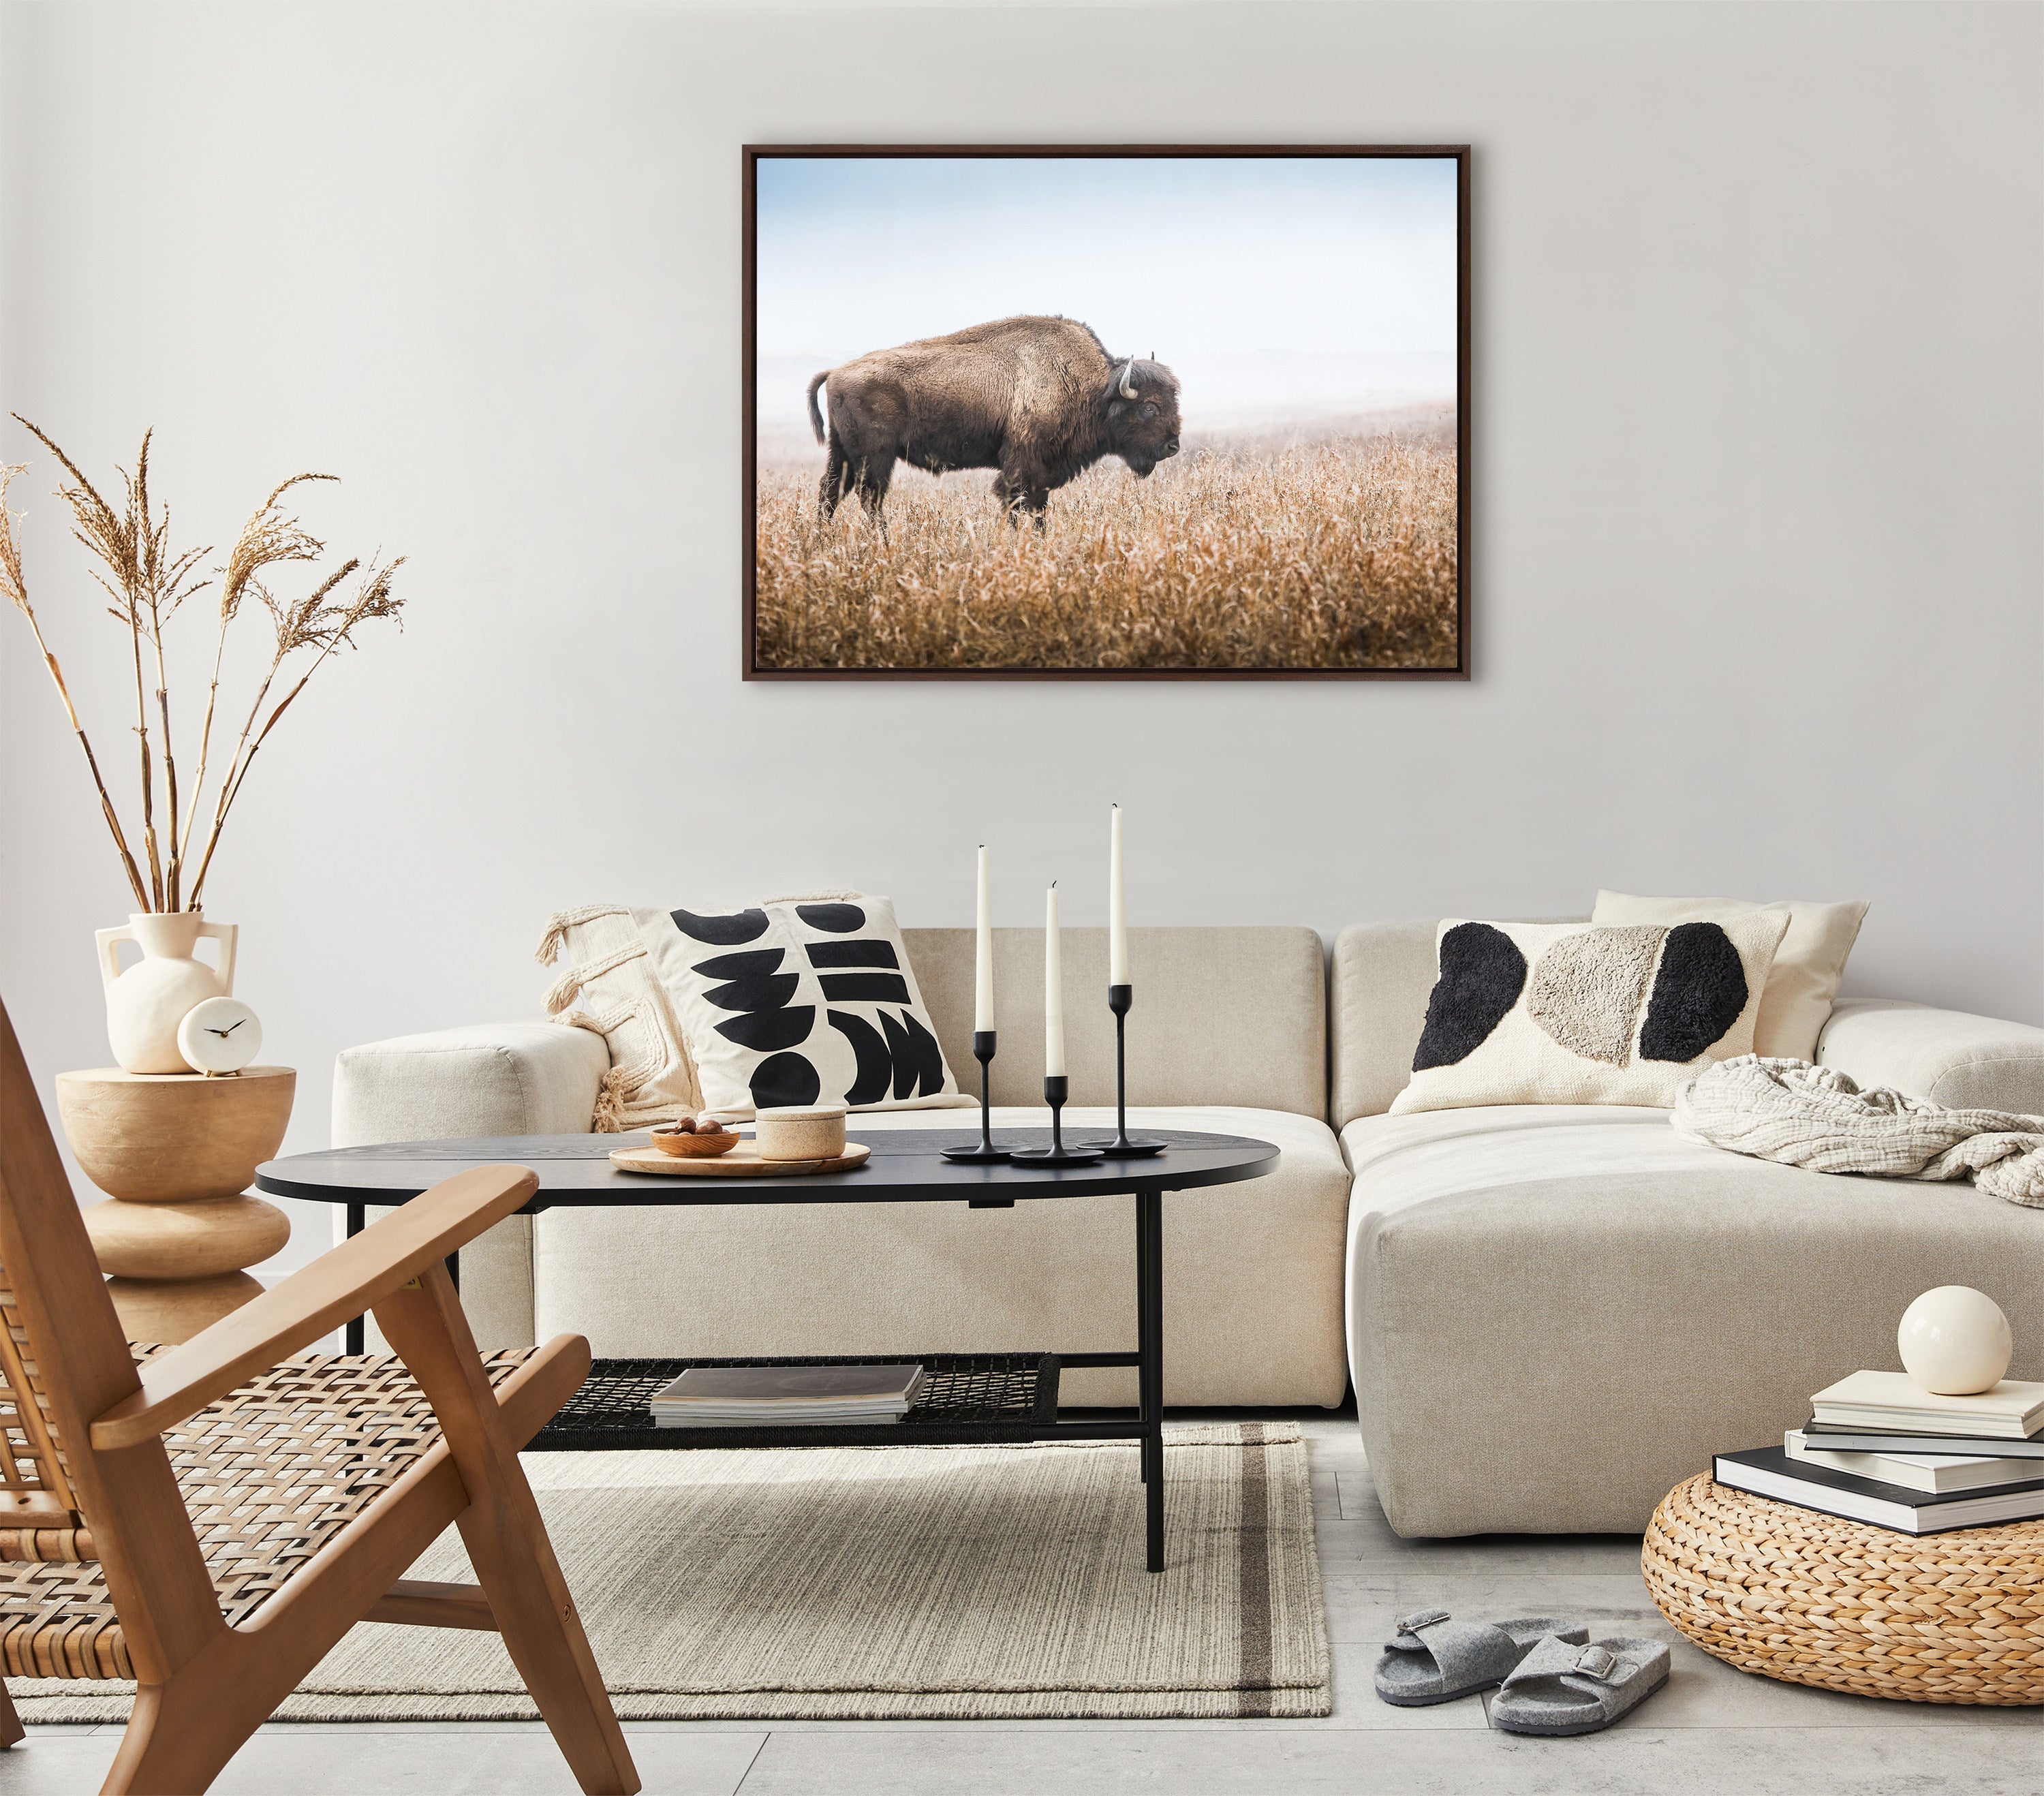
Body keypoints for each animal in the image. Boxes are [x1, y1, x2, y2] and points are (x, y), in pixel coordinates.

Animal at [806, 315, 1180, 528]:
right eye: (1149, 407)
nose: (1173, 446)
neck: (1090, 387)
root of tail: (836, 372)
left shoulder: (1042, 475)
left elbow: (1038, 511)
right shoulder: (1021, 467)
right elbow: (1016, 504)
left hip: (843, 454)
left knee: (831, 492)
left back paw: (823, 539)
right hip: (876, 457)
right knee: (869, 498)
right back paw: (882, 540)